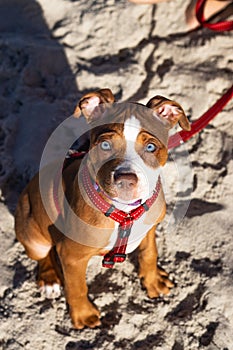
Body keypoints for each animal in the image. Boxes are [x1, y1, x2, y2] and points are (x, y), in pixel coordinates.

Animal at [14, 87, 190, 328]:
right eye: (105, 145)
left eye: (151, 147)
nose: (126, 179)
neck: (125, 211)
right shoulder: (71, 256)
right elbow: (77, 287)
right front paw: (83, 315)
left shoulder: (150, 229)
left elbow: (149, 253)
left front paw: (153, 281)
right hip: (32, 232)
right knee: (43, 254)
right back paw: (49, 279)